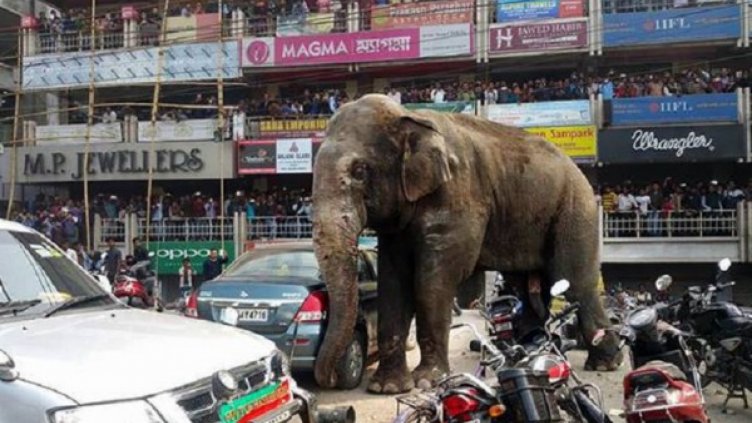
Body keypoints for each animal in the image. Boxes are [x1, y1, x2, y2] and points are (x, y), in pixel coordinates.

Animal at [311, 94, 622, 393]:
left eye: (360, 171)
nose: (328, 380)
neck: (411, 117)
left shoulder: (459, 195)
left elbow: (434, 281)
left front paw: (427, 381)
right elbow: (392, 284)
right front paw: (387, 387)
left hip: (576, 210)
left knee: (574, 283)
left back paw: (605, 364)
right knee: (525, 288)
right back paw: (530, 356)